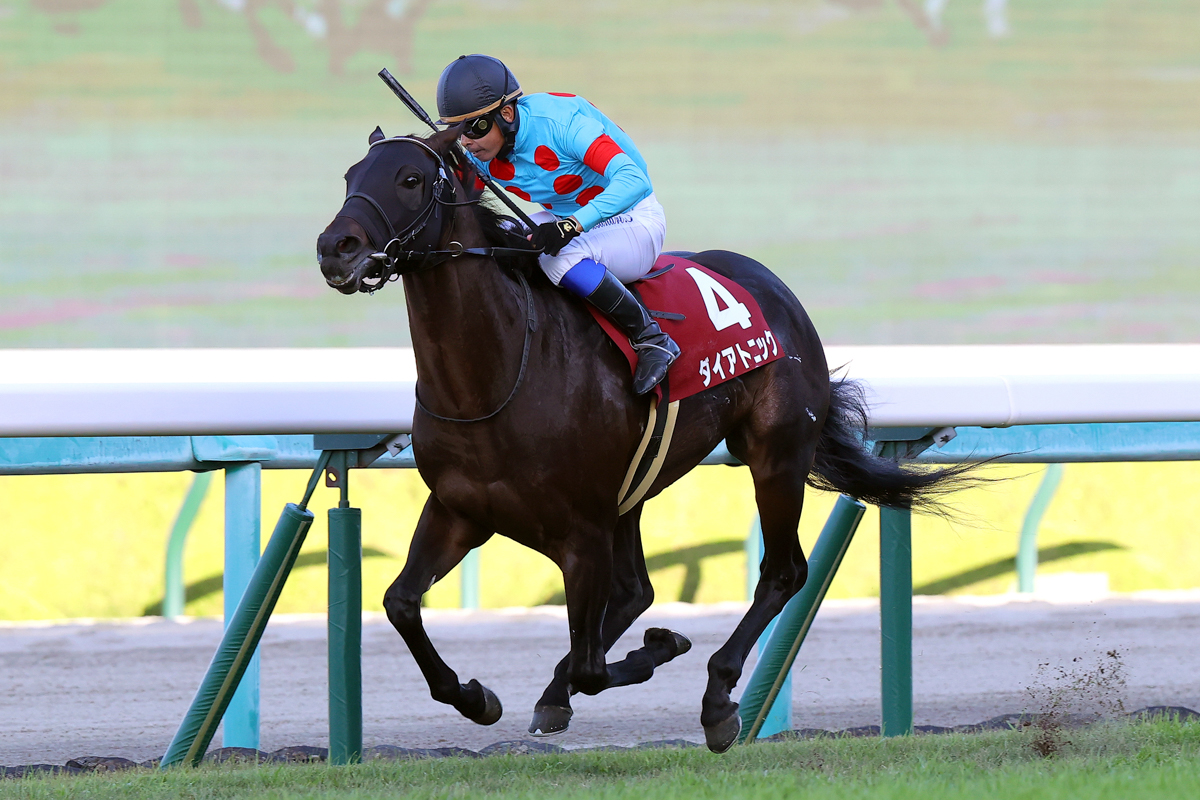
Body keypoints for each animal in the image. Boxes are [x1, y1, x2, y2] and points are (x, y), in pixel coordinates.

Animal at [316, 128, 964, 753]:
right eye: (349, 175)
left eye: (410, 178)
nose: (334, 247)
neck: (492, 379)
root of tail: (774, 287)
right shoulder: (461, 510)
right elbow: (401, 603)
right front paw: (476, 697)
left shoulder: (582, 531)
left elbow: (591, 667)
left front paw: (660, 650)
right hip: (634, 488)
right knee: (636, 591)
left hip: (775, 457)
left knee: (782, 573)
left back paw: (717, 699)